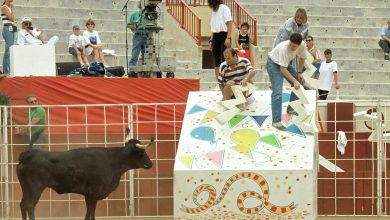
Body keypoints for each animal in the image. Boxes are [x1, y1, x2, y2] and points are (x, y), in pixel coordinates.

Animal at [16, 137, 154, 219]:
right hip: (35, 187)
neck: (112, 161)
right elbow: (91, 211)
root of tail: (28, 154)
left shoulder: (88, 194)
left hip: (26, 188)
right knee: (29, 205)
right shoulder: (94, 193)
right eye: (141, 152)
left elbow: (89, 211)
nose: (150, 163)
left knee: (23, 205)